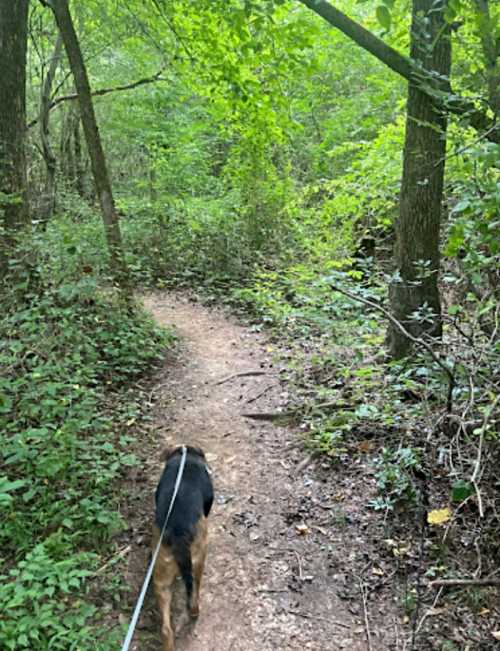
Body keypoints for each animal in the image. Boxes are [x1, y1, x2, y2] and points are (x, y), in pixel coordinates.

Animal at [152, 446, 215, 651]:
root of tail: (178, 535)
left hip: (161, 580)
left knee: (166, 629)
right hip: (198, 560)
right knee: (194, 592)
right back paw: (195, 612)